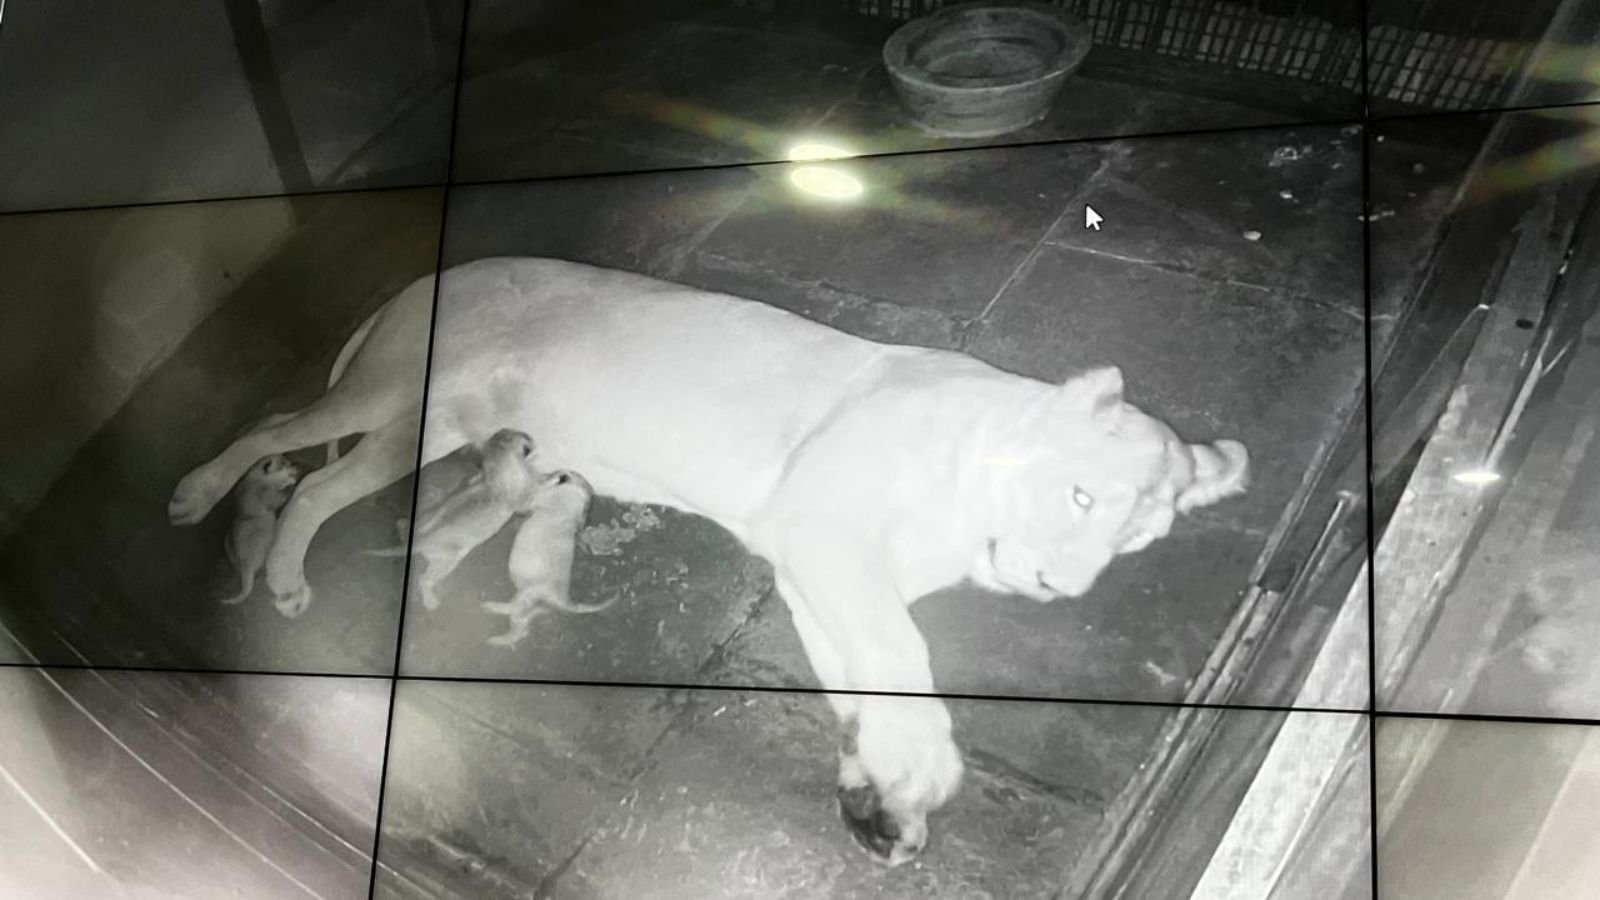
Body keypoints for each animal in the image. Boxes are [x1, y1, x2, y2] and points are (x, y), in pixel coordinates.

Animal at [167, 257, 1250, 864]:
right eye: (1080, 495)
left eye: (1138, 539)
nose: (1056, 587)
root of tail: (433, 273)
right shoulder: (825, 536)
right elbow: (900, 659)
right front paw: (917, 768)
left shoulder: (815, 574)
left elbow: (859, 684)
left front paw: (877, 800)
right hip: (391, 396)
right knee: (280, 445)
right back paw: (217, 515)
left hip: (416, 428)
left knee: (313, 479)